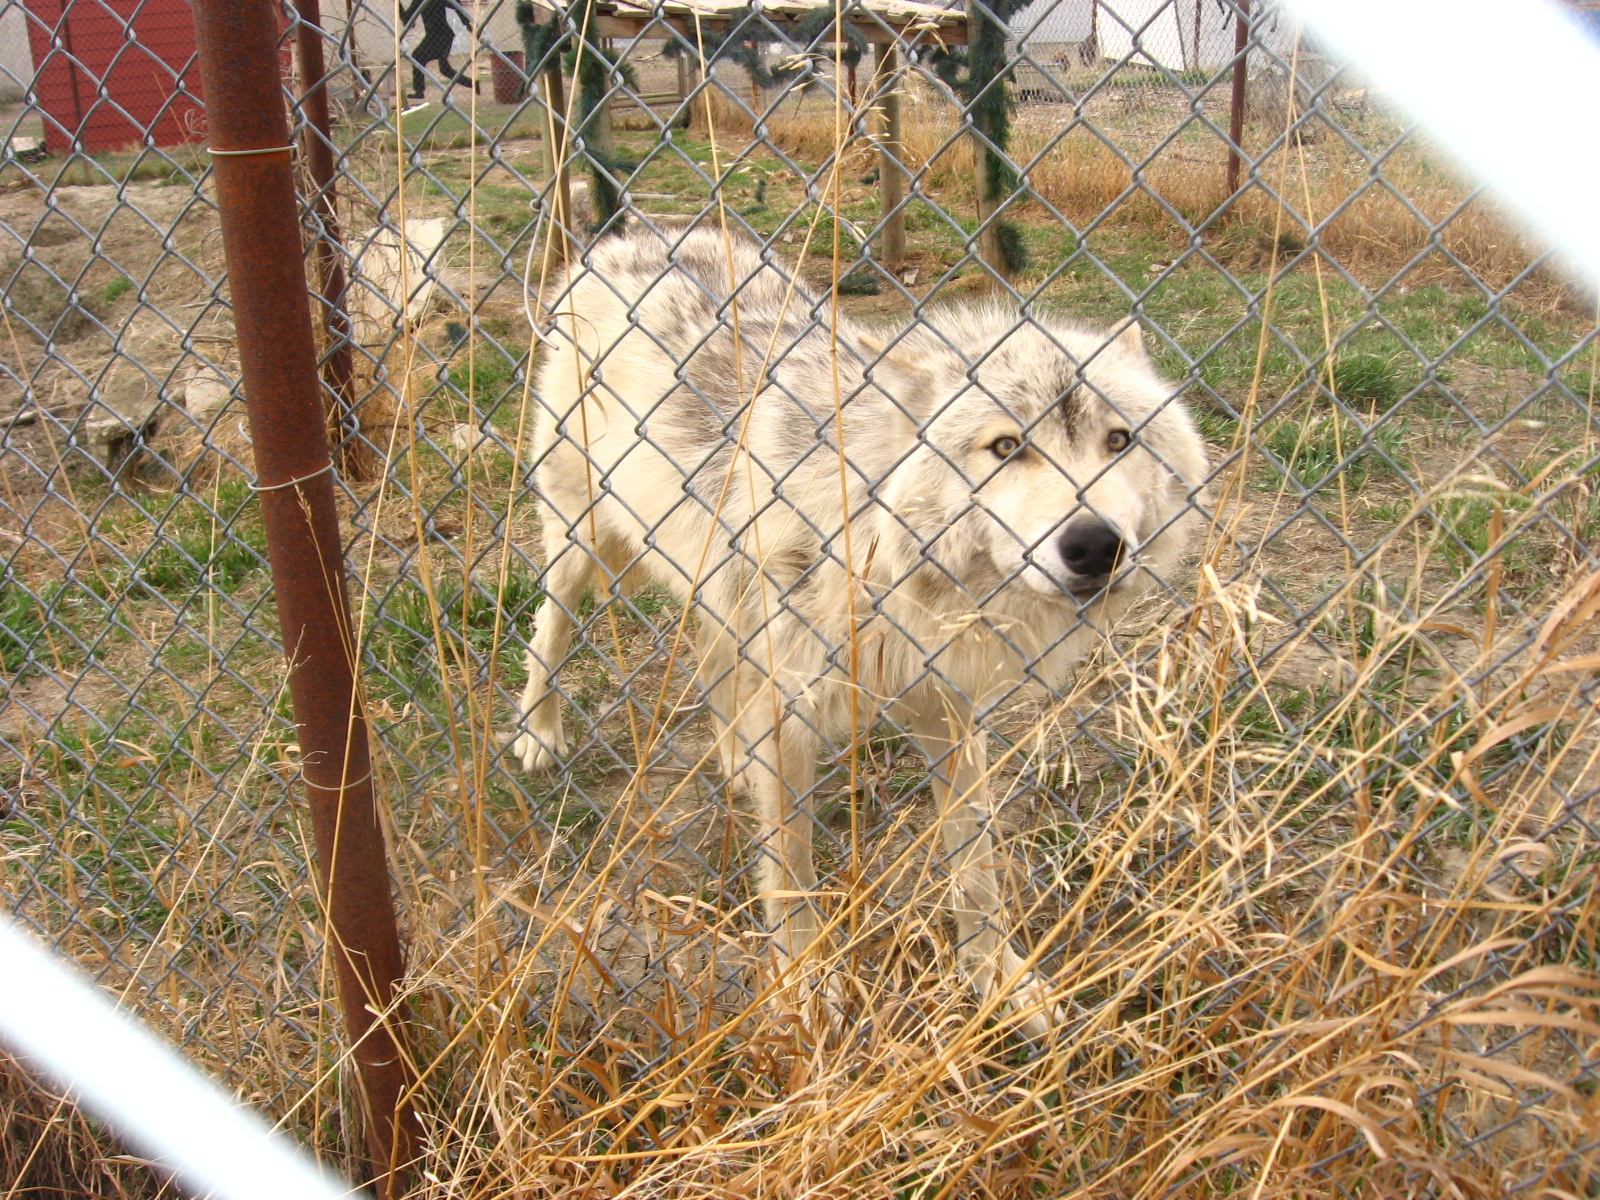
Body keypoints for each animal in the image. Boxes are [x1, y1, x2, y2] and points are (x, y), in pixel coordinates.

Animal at [515, 227, 1207, 1036]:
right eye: (1006, 448)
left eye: (1119, 440)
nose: (1096, 546)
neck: (885, 556)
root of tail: (633, 236)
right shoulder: (791, 711)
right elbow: (791, 874)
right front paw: (803, 990)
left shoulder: (948, 706)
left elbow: (976, 871)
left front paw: (999, 981)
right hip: (583, 538)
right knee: (548, 627)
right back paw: (538, 733)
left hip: (712, 575)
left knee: (713, 660)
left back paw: (731, 756)